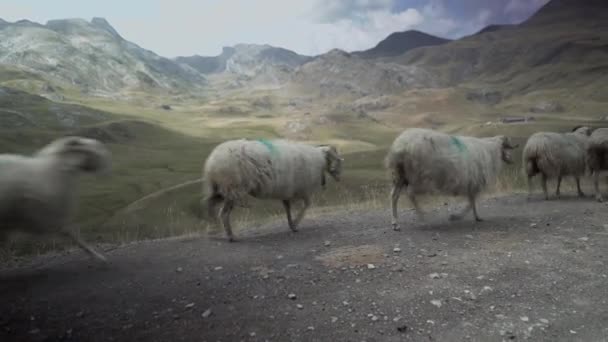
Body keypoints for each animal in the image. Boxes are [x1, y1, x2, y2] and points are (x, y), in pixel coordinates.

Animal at [201, 138, 340, 240]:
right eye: (337, 159)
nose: (339, 177)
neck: (319, 159)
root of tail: (211, 163)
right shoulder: (303, 191)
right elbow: (306, 206)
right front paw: (295, 223)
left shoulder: (288, 191)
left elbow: (288, 209)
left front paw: (292, 225)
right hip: (233, 188)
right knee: (223, 213)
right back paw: (230, 236)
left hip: (218, 188)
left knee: (210, 205)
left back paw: (212, 230)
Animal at [384, 127, 516, 230]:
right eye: (506, 147)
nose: (511, 159)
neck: (490, 151)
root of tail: (400, 145)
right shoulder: (474, 183)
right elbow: (471, 203)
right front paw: (458, 216)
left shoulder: (471, 184)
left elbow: (472, 202)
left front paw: (474, 217)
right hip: (420, 177)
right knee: (410, 193)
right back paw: (423, 217)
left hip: (399, 176)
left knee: (394, 196)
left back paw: (395, 223)